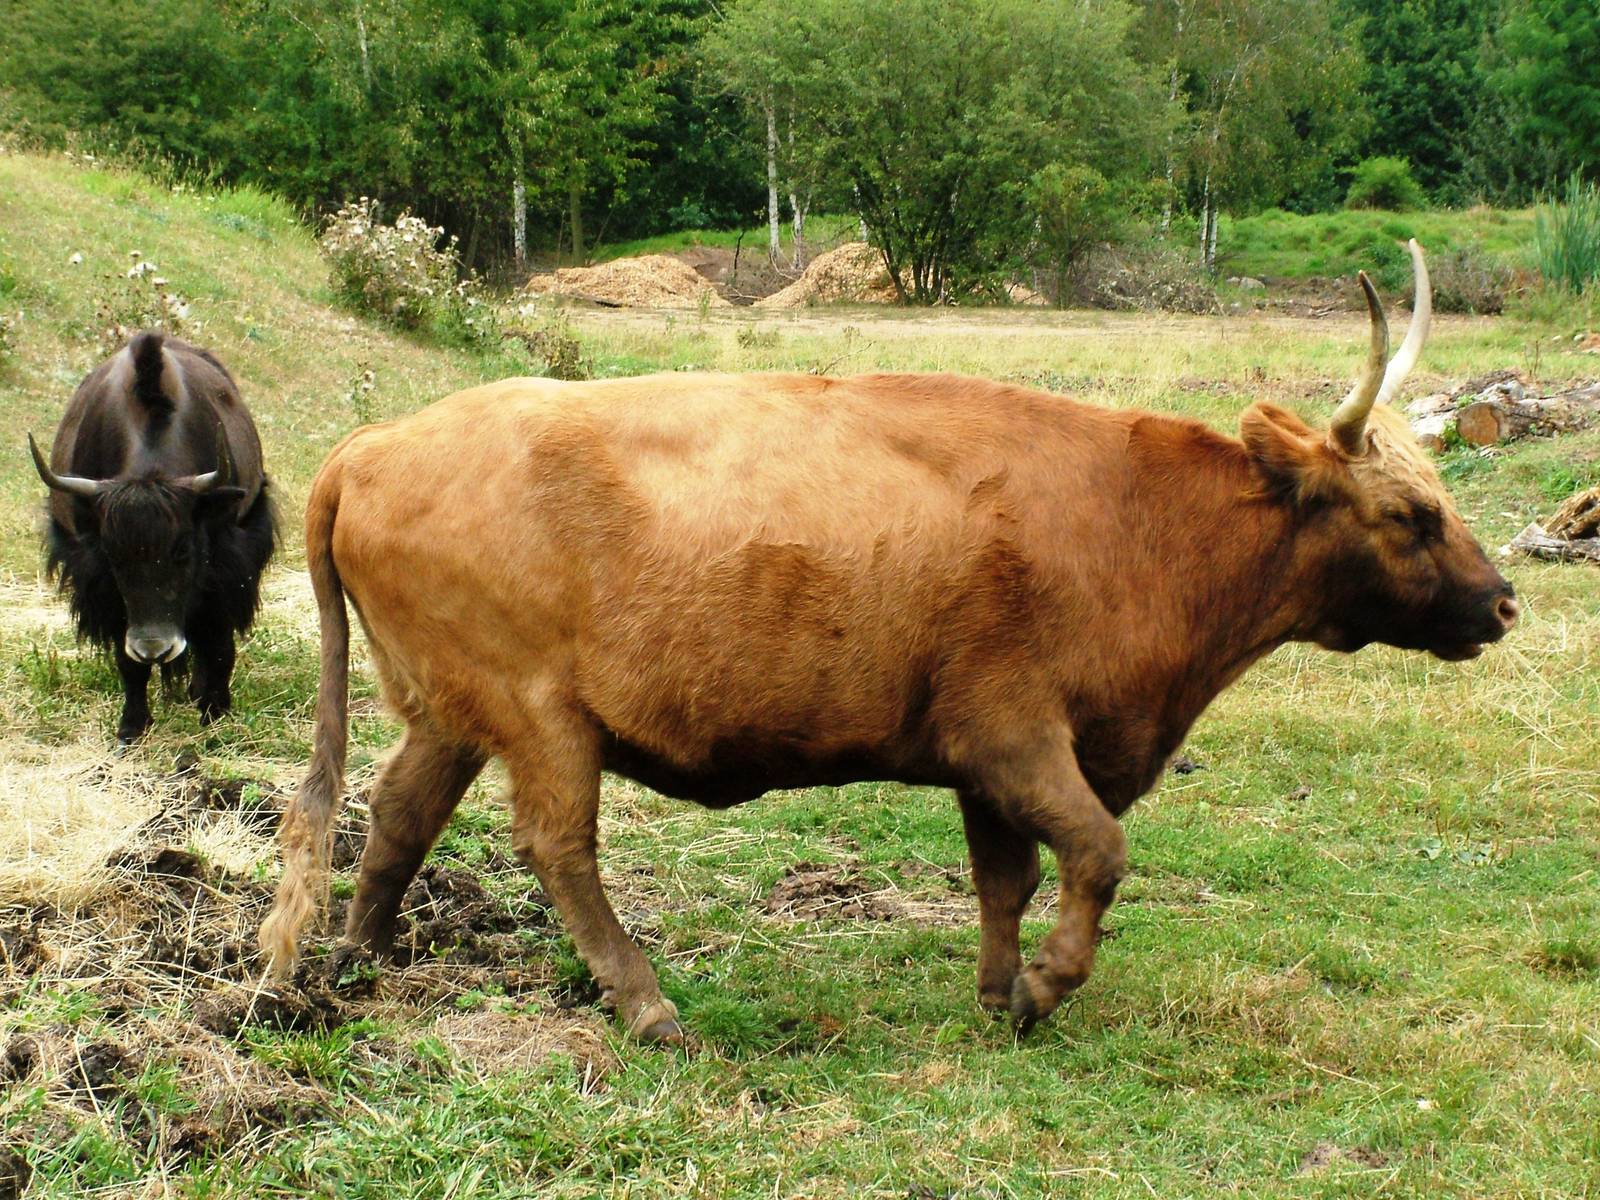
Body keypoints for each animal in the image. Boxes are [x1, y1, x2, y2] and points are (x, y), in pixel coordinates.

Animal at [30, 331, 276, 744]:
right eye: (114, 555)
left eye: (183, 549)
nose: (154, 648)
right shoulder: (102, 582)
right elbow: (126, 660)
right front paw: (131, 728)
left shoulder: (227, 564)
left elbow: (218, 643)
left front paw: (215, 713)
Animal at [261, 242, 1516, 1043]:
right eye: (1409, 514)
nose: (1502, 604)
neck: (1133, 523)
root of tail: (370, 445)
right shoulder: (1017, 734)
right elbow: (1098, 852)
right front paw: (1047, 987)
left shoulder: (983, 763)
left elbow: (1007, 879)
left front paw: (999, 994)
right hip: (539, 718)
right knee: (556, 848)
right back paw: (648, 1005)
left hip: (453, 711)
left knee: (398, 814)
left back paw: (363, 963)